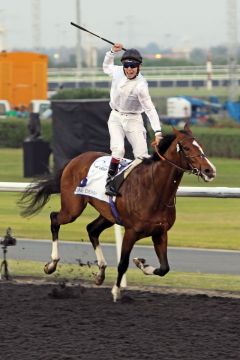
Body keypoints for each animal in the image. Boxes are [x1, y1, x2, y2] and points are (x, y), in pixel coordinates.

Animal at [19, 124, 217, 300]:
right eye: (186, 147)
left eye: (200, 145)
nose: (210, 170)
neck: (154, 190)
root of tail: (75, 159)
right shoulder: (131, 231)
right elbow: (123, 263)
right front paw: (116, 291)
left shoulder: (160, 232)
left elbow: (164, 268)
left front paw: (141, 263)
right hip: (72, 208)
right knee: (55, 219)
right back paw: (51, 264)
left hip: (107, 215)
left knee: (92, 229)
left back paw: (100, 272)